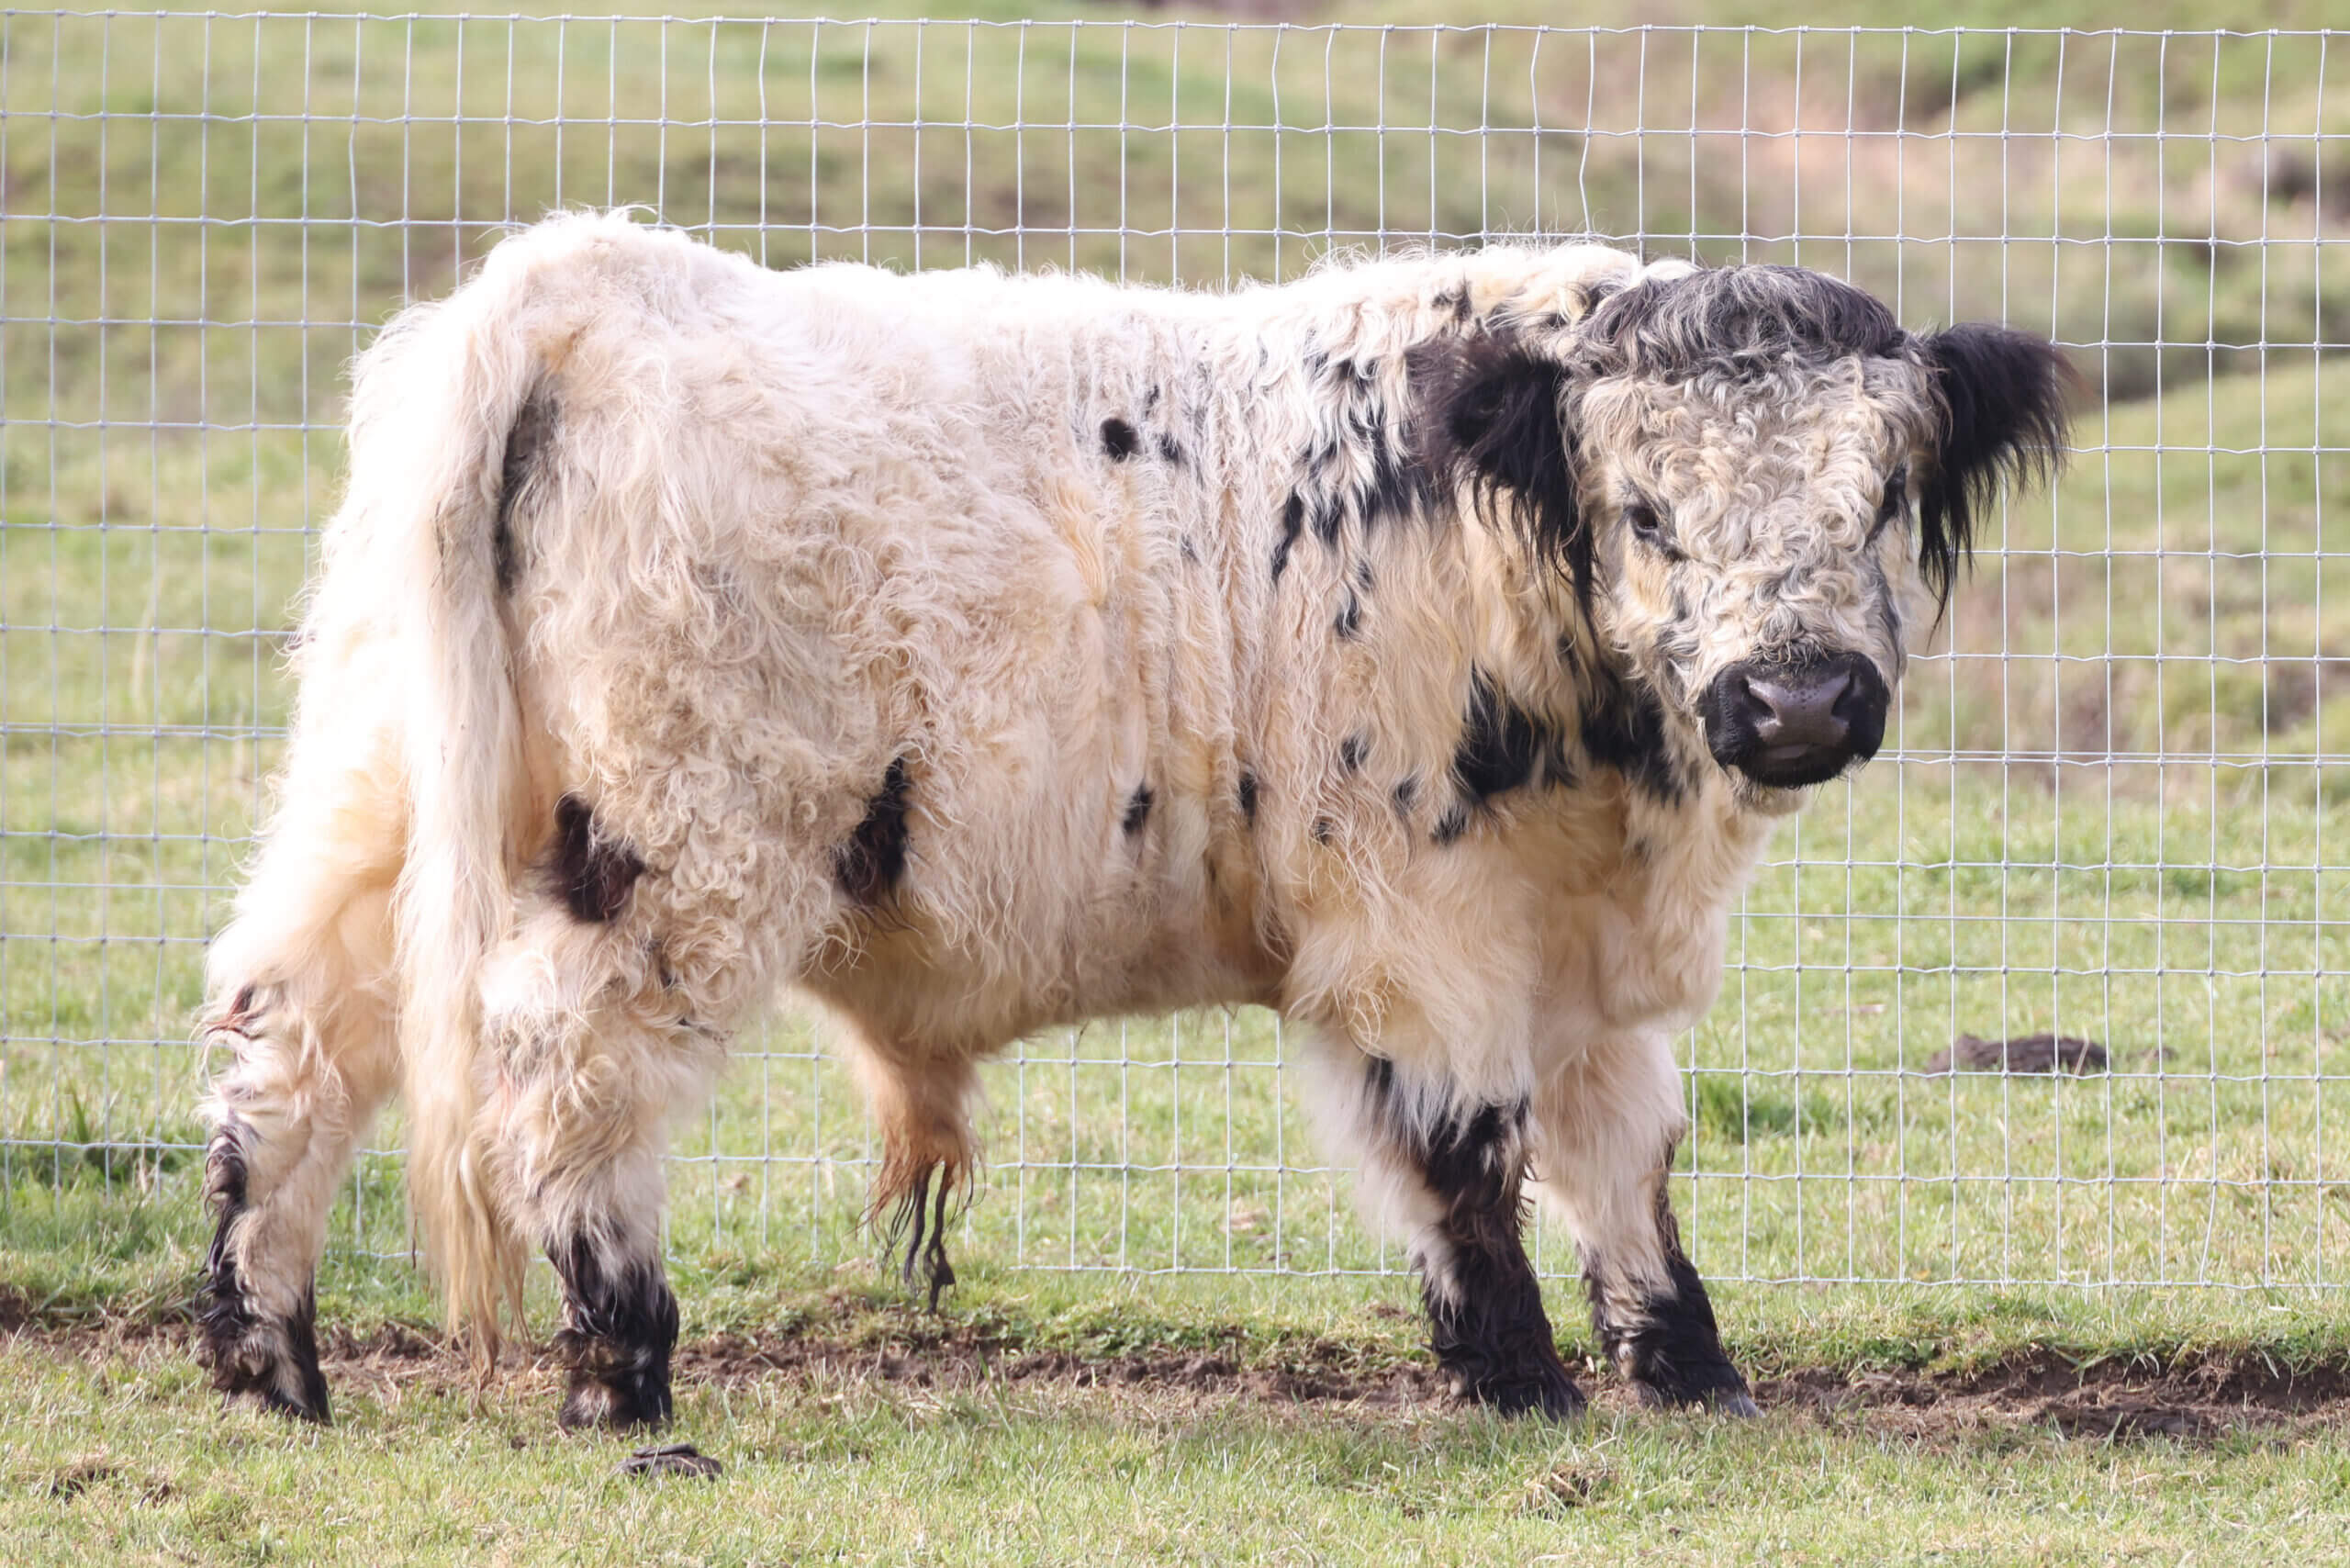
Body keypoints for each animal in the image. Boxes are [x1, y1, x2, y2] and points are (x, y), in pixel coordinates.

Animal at [196, 211, 2068, 1430]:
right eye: (1648, 510)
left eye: (1878, 498)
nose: (1798, 700)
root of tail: (593, 278)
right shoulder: (1420, 928)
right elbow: (1465, 1149)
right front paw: (1521, 1380)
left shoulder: (1590, 952)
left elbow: (1624, 1153)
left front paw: (1691, 1370)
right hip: (669, 853)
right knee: (567, 1078)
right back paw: (625, 1370)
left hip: (385, 797)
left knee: (287, 1041)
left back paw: (267, 1360)